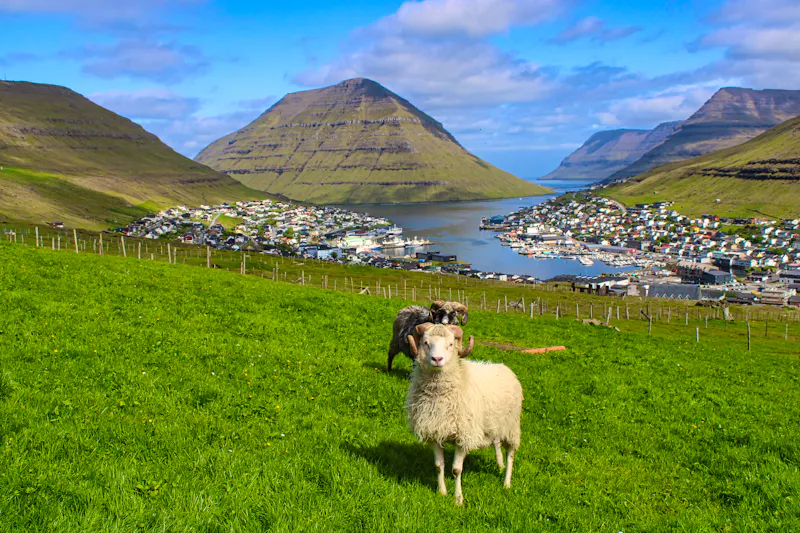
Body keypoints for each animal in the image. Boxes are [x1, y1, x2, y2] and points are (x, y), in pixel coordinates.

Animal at [405, 323, 522, 505]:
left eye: (450, 344)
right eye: (425, 343)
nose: (437, 359)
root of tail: (504, 367)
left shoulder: (463, 436)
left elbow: (456, 470)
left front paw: (458, 499)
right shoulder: (434, 432)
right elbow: (438, 466)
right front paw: (442, 492)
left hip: (511, 426)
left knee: (510, 454)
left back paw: (506, 482)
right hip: (493, 425)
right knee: (496, 443)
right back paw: (500, 465)